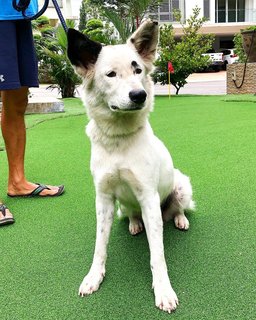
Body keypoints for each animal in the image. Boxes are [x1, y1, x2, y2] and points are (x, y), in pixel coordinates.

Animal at [67, 20, 195, 312]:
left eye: (138, 69)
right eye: (111, 74)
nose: (140, 95)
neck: (118, 140)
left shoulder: (148, 197)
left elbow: (157, 255)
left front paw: (163, 290)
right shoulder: (103, 198)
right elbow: (99, 245)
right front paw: (94, 276)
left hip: (181, 186)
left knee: (178, 209)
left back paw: (180, 219)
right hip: (122, 206)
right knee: (132, 214)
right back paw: (135, 224)